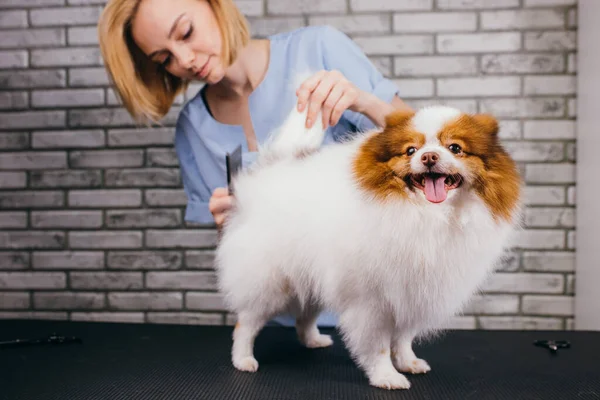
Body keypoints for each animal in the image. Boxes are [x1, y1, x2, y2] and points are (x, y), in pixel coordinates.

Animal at [214, 98, 520, 390]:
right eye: (411, 150)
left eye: (455, 148)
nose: (429, 156)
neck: (428, 215)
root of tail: (258, 183)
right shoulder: (372, 300)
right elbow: (379, 345)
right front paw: (387, 376)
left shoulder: (412, 291)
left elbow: (404, 338)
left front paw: (408, 362)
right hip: (270, 283)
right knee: (246, 323)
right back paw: (243, 359)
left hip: (313, 276)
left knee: (305, 315)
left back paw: (313, 340)